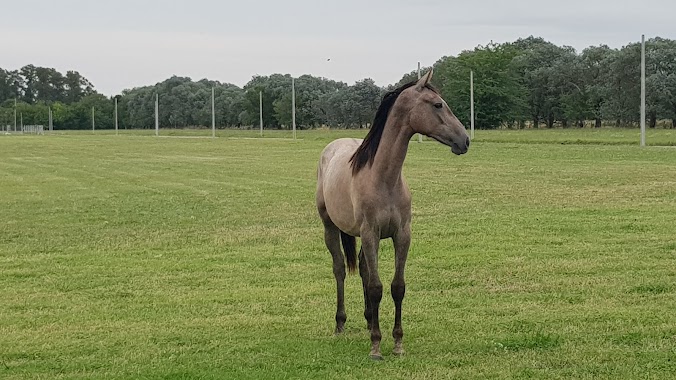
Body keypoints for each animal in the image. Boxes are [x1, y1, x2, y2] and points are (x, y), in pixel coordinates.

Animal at [314, 69, 468, 360]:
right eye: (438, 104)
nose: (465, 140)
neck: (383, 178)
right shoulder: (370, 234)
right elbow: (377, 288)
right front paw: (376, 346)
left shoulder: (402, 235)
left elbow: (397, 286)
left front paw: (397, 342)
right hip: (330, 227)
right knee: (339, 269)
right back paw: (341, 323)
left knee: (363, 268)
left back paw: (368, 320)